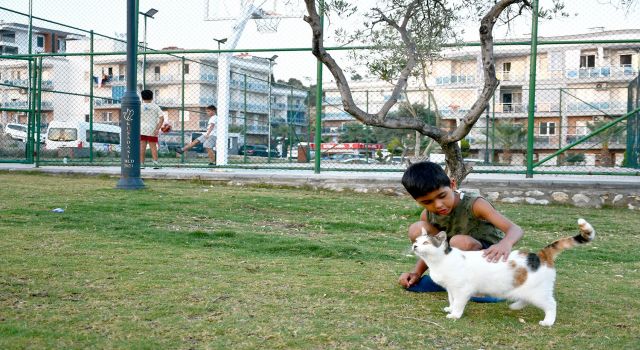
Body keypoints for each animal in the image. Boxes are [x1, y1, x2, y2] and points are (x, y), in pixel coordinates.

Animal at [412, 217, 596, 326]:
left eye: (426, 243)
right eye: (417, 241)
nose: (414, 246)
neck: (440, 261)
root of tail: (540, 254)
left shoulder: (462, 289)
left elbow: (458, 303)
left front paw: (455, 315)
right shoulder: (451, 288)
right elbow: (452, 300)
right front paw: (450, 309)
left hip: (539, 293)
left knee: (551, 304)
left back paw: (548, 321)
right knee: (526, 299)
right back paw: (515, 306)